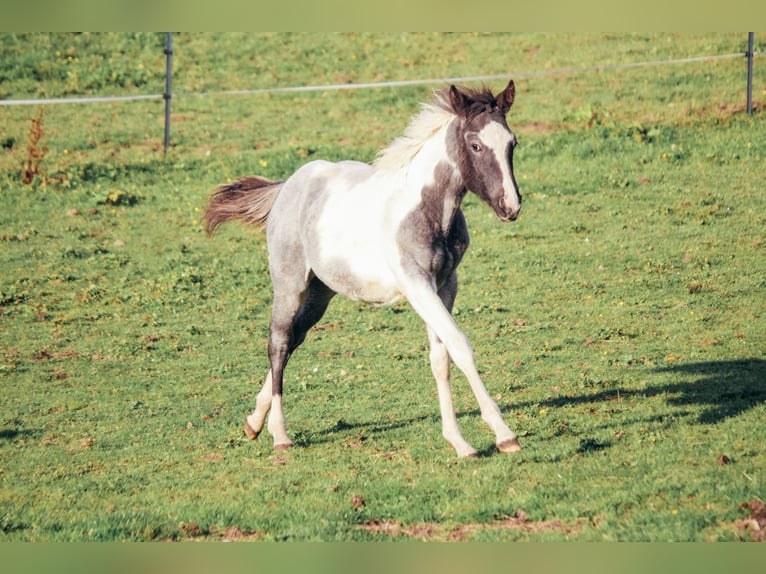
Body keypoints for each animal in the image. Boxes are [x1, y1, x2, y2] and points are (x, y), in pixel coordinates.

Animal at [205, 80, 523, 458]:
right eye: (475, 145)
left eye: (512, 143)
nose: (511, 206)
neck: (428, 211)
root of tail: (289, 185)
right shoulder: (416, 284)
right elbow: (459, 346)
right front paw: (504, 434)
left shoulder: (445, 285)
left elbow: (440, 358)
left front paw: (458, 441)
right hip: (289, 283)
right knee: (279, 342)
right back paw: (279, 433)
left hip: (321, 291)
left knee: (295, 336)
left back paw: (254, 422)